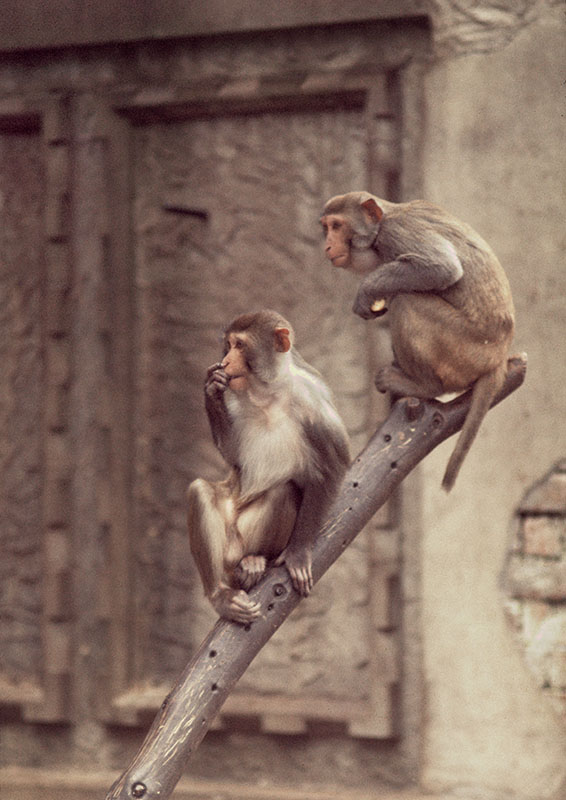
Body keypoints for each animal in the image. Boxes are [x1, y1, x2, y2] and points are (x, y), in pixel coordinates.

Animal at [187, 310, 350, 624]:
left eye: (240, 345)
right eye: (229, 346)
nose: (226, 361)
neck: (268, 391)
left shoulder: (314, 400)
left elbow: (333, 465)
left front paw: (298, 553)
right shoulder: (235, 395)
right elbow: (235, 455)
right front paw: (211, 389)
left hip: (245, 540)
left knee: (283, 490)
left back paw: (254, 562)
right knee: (200, 490)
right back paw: (221, 594)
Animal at [320, 191, 515, 491]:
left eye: (337, 226)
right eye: (326, 227)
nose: (327, 245)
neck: (379, 232)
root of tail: (499, 359)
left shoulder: (396, 233)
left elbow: (440, 268)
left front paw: (366, 290)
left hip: (464, 351)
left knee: (407, 299)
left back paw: (422, 386)